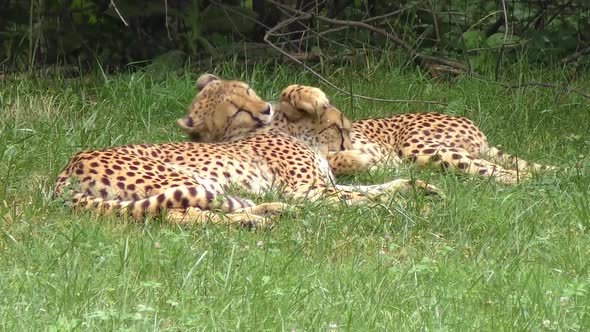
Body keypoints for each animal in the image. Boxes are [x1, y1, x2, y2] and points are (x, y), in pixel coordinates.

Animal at [54, 75, 440, 226]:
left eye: (250, 91)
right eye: (337, 127)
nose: (347, 136)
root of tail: (65, 171)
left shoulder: (322, 185)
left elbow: (374, 188)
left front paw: (418, 188)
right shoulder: (307, 190)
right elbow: (363, 197)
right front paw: (410, 207)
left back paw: (269, 211)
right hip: (179, 179)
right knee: (179, 214)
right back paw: (253, 221)